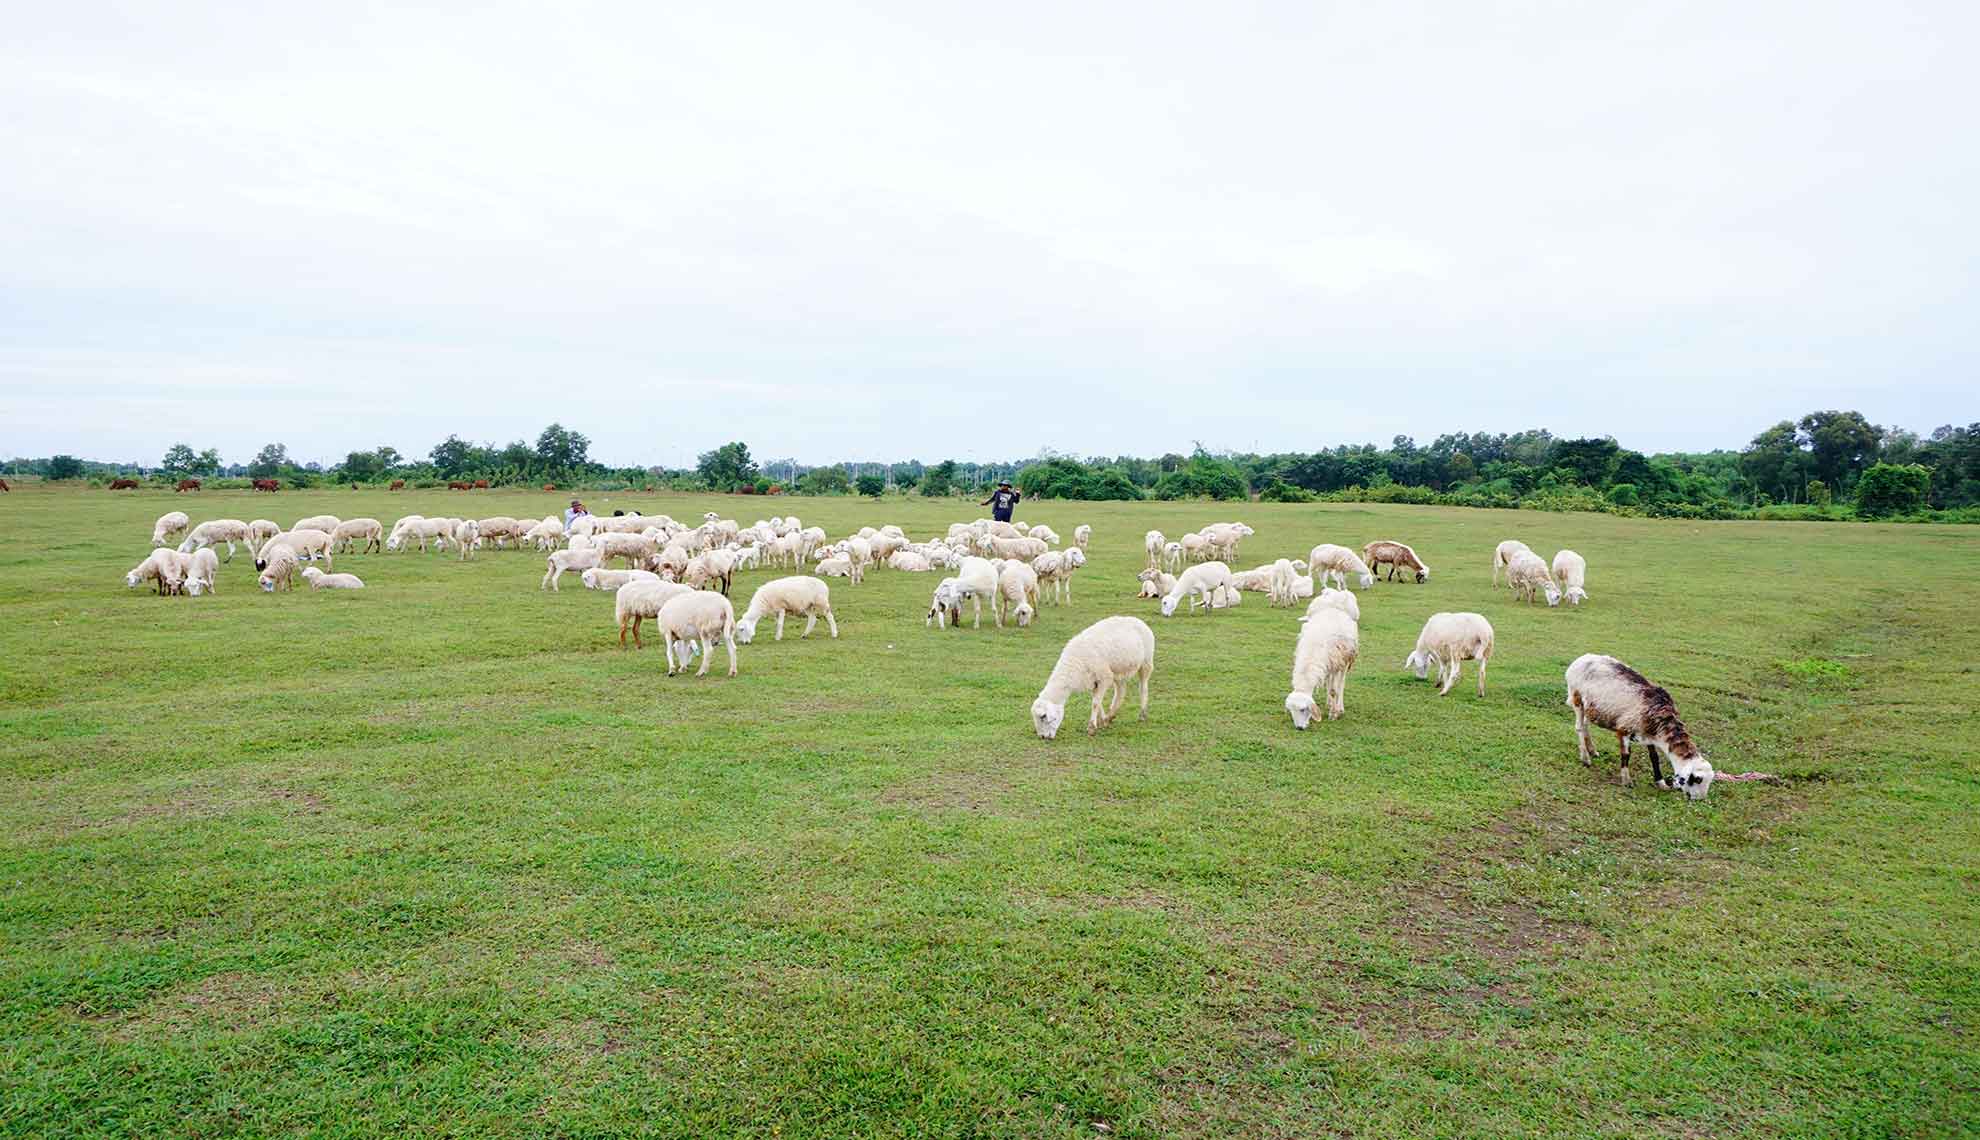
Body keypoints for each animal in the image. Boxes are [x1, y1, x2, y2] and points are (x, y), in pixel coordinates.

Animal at [1560, 653, 1718, 795]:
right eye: (1697, 779)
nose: (1698, 799)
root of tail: (1580, 659)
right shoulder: (1624, 728)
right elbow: (1626, 755)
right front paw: (1626, 780)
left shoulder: (1649, 734)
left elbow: (1654, 757)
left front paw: (1660, 782)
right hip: (1577, 698)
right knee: (1579, 727)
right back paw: (1585, 758)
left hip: (1591, 707)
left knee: (1586, 726)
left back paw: (1592, 750)